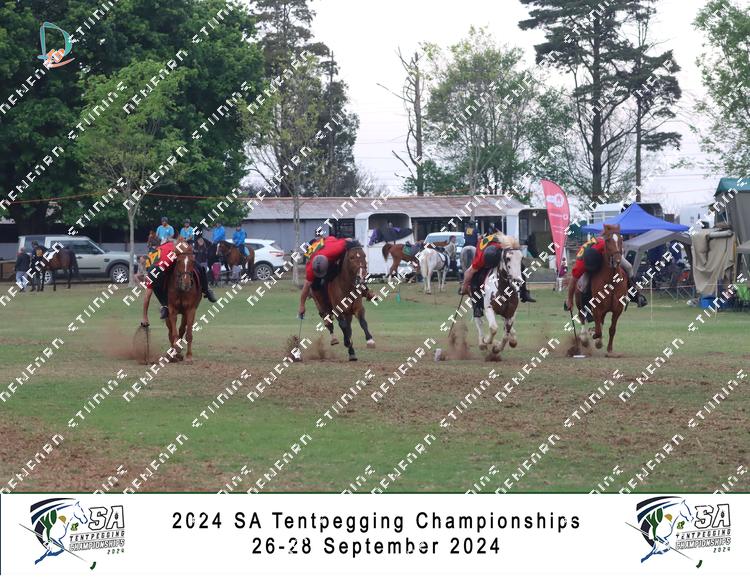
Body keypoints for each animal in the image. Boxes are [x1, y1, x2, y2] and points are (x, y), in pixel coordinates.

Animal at [573, 224, 628, 355]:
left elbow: (612, 329)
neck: (611, 281)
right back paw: (584, 338)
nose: (617, 260)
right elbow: (597, 331)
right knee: (582, 317)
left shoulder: (617, 309)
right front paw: (594, 336)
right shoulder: (597, 308)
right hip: (580, 302)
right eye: (608, 241)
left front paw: (609, 349)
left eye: (621, 239)